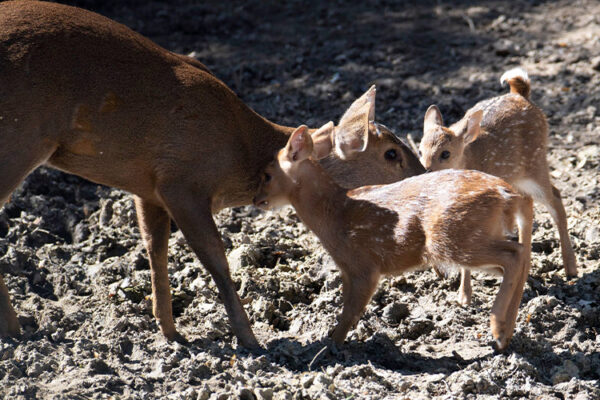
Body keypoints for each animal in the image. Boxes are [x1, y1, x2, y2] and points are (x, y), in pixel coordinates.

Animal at [0, 0, 422, 346]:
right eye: (392, 154)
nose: (425, 175)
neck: (241, 154)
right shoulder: (182, 181)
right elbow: (216, 258)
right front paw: (250, 341)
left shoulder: (148, 186)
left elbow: (156, 251)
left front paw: (170, 331)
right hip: (20, 135)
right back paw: (16, 330)